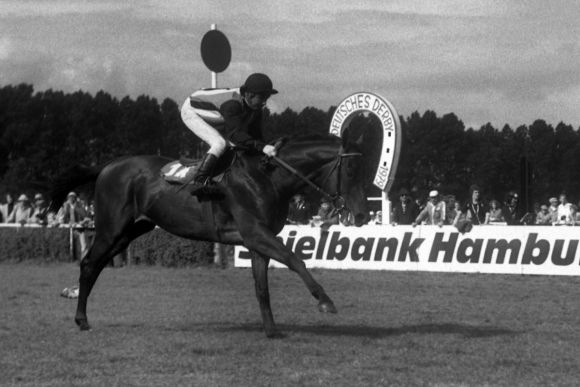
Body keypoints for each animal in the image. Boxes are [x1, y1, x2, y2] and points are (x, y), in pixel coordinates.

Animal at [48, 133, 368, 336]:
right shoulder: (256, 232)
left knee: (97, 265)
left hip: (131, 230)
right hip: (111, 227)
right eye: (352, 168)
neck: (269, 178)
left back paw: (78, 307)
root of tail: (107, 166)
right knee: (89, 263)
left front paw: (271, 331)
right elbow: (295, 260)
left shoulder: (255, 241)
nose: (363, 214)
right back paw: (82, 320)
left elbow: (261, 287)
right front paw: (325, 301)